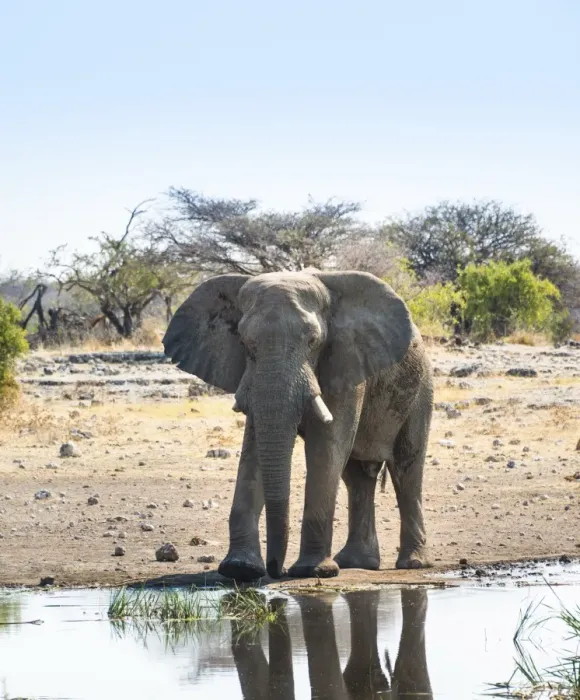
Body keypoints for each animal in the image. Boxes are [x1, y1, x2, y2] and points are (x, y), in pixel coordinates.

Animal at [163, 270, 433, 581]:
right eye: (243, 342)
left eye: (313, 341)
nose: (275, 570)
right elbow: (254, 447)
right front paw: (239, 569)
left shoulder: (345, 360)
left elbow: (326, 443)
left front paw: (312, 571)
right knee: (357, 477)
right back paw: (356, 562)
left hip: (421, 388)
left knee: (406, 469)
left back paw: (413, 564)